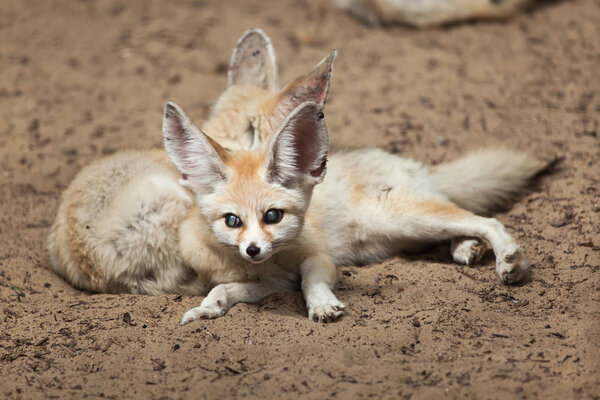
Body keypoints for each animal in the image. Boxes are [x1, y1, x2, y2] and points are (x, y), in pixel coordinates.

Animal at [48, 28, 544, 324]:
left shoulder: (302, 261)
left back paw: (503, 257)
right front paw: (211, 306)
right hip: (401, 227)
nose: (252, 249)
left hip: (402, 217)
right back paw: (467, 249)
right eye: (231, 221)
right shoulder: (262, 275)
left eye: (273, 216)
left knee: (480, 217)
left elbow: (307, 279)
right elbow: (233, 287)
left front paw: (320, 302)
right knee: (461, 219)